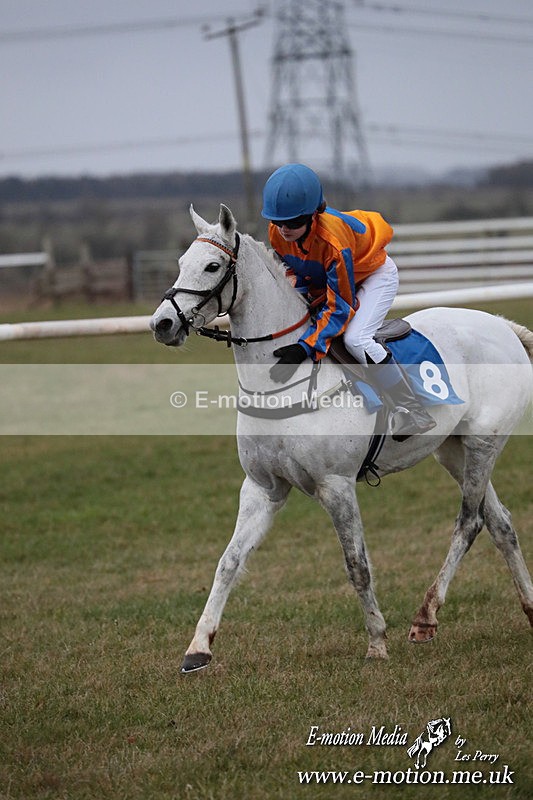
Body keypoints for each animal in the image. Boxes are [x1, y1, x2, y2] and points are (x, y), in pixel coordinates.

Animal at [150, 204, 533, 673]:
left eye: (212, 266)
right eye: (181, 262)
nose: (162, 323)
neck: (282, 379)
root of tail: (502, 326)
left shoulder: (336, 486)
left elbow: (357, 565)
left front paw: (377, 643)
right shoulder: (262, 488)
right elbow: (229, 561)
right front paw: (198, 647)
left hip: (483, 443)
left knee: (470, 521)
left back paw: (425, 617)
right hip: (454, 451)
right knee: (500, 524)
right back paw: (530, 609)